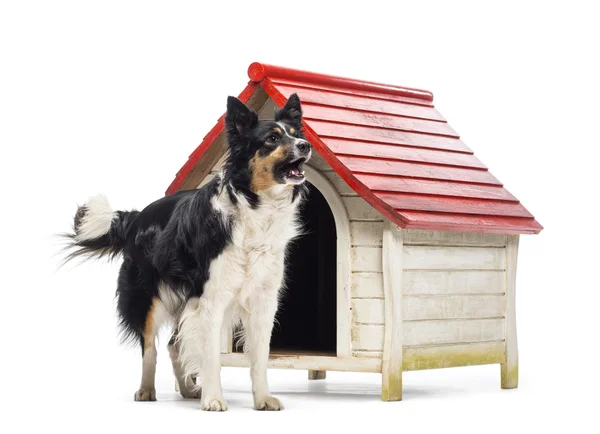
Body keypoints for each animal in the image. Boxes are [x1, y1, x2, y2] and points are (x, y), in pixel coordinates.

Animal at [62, 92, 312, 410]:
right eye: (271, 138)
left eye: (295, 134)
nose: (306, 145)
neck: (256, 207)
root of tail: (135, 217)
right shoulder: (210, 297)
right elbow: (211, 356)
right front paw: (214, 399)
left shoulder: (262, 301)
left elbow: (259, 358)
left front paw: (262, 399)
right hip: (148, 297)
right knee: (150, 347)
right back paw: (147, 390)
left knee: (172, 344)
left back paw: (188, 389)